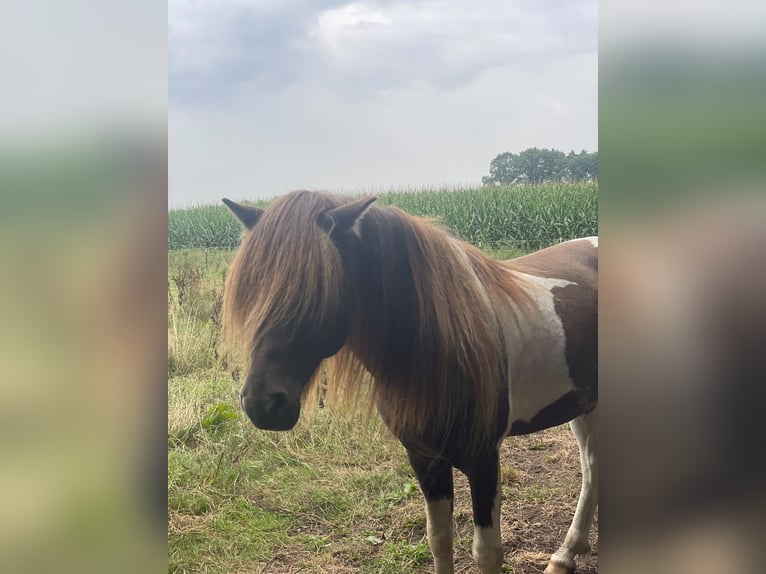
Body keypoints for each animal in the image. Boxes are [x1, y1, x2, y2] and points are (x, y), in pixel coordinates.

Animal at [222, 190, 597, 574]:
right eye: (250, 287)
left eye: (318, 289)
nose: (262, 404)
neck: (440, 353)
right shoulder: (424, 458)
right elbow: (439, 539)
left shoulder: (483, 460)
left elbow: (486, 551)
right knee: (591, 469)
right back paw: (565, 555)